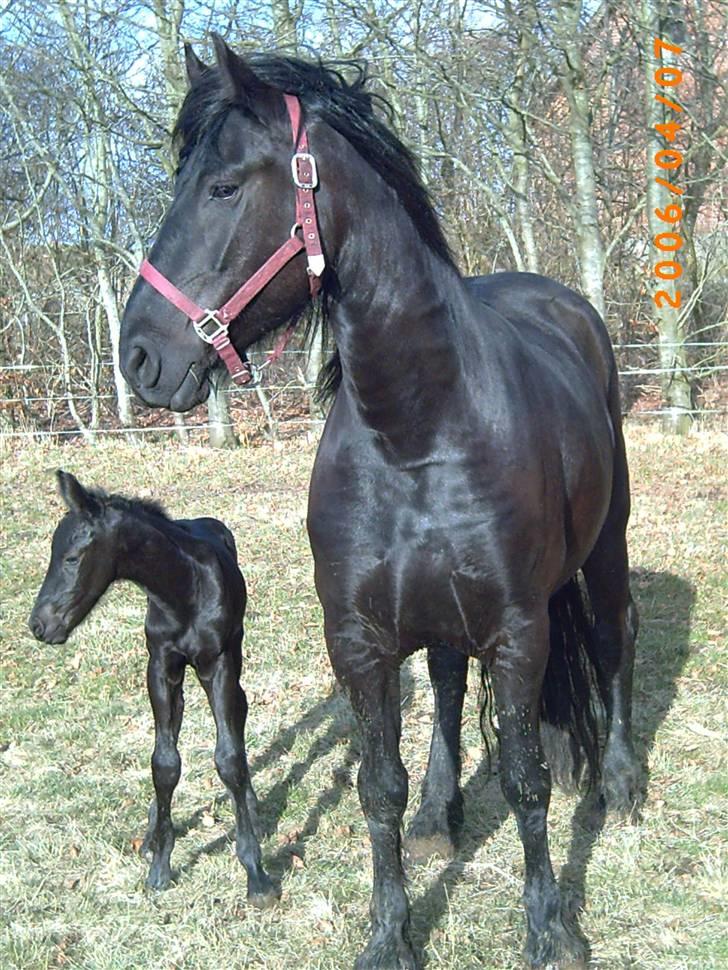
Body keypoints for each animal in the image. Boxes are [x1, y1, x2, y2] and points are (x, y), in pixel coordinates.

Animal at [28, 470, 276, 908]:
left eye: (72, 557)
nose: (39, 625)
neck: (183, 590)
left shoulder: (217, 665)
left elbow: (229, 758)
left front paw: (255, 873)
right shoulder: (160, 667)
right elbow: (164, 762)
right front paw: (160, 863)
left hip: (235, 650)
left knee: (240, 713)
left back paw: (249, 805)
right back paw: (151, 831)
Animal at [119, 36, 644, 960]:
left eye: (223, 187)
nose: (140, 352)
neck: (419, 431)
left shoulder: (519, 632)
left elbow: (527, 780)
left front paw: (551, 927)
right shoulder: (359, 641)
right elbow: (379, 787)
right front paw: (391, 932)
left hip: (604, 548)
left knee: (614, 640)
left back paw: (618, 782)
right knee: (445, 686)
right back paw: (442, 812)